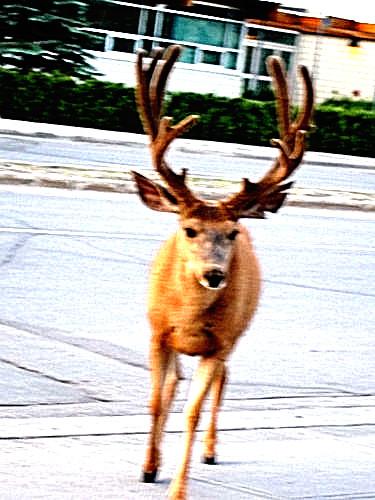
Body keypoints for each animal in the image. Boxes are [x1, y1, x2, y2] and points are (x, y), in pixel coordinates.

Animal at [132, 44, 314, 500]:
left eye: (231, 233)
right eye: (189, 229)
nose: (214, 274)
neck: (190, 317)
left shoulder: (220, 343)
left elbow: (192, 413)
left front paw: (178, 490)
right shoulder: (158, 333)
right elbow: (157, 400)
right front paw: (148, 467)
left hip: (237, 334)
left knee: (223, 380)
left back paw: (212, 450)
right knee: (174, 384)